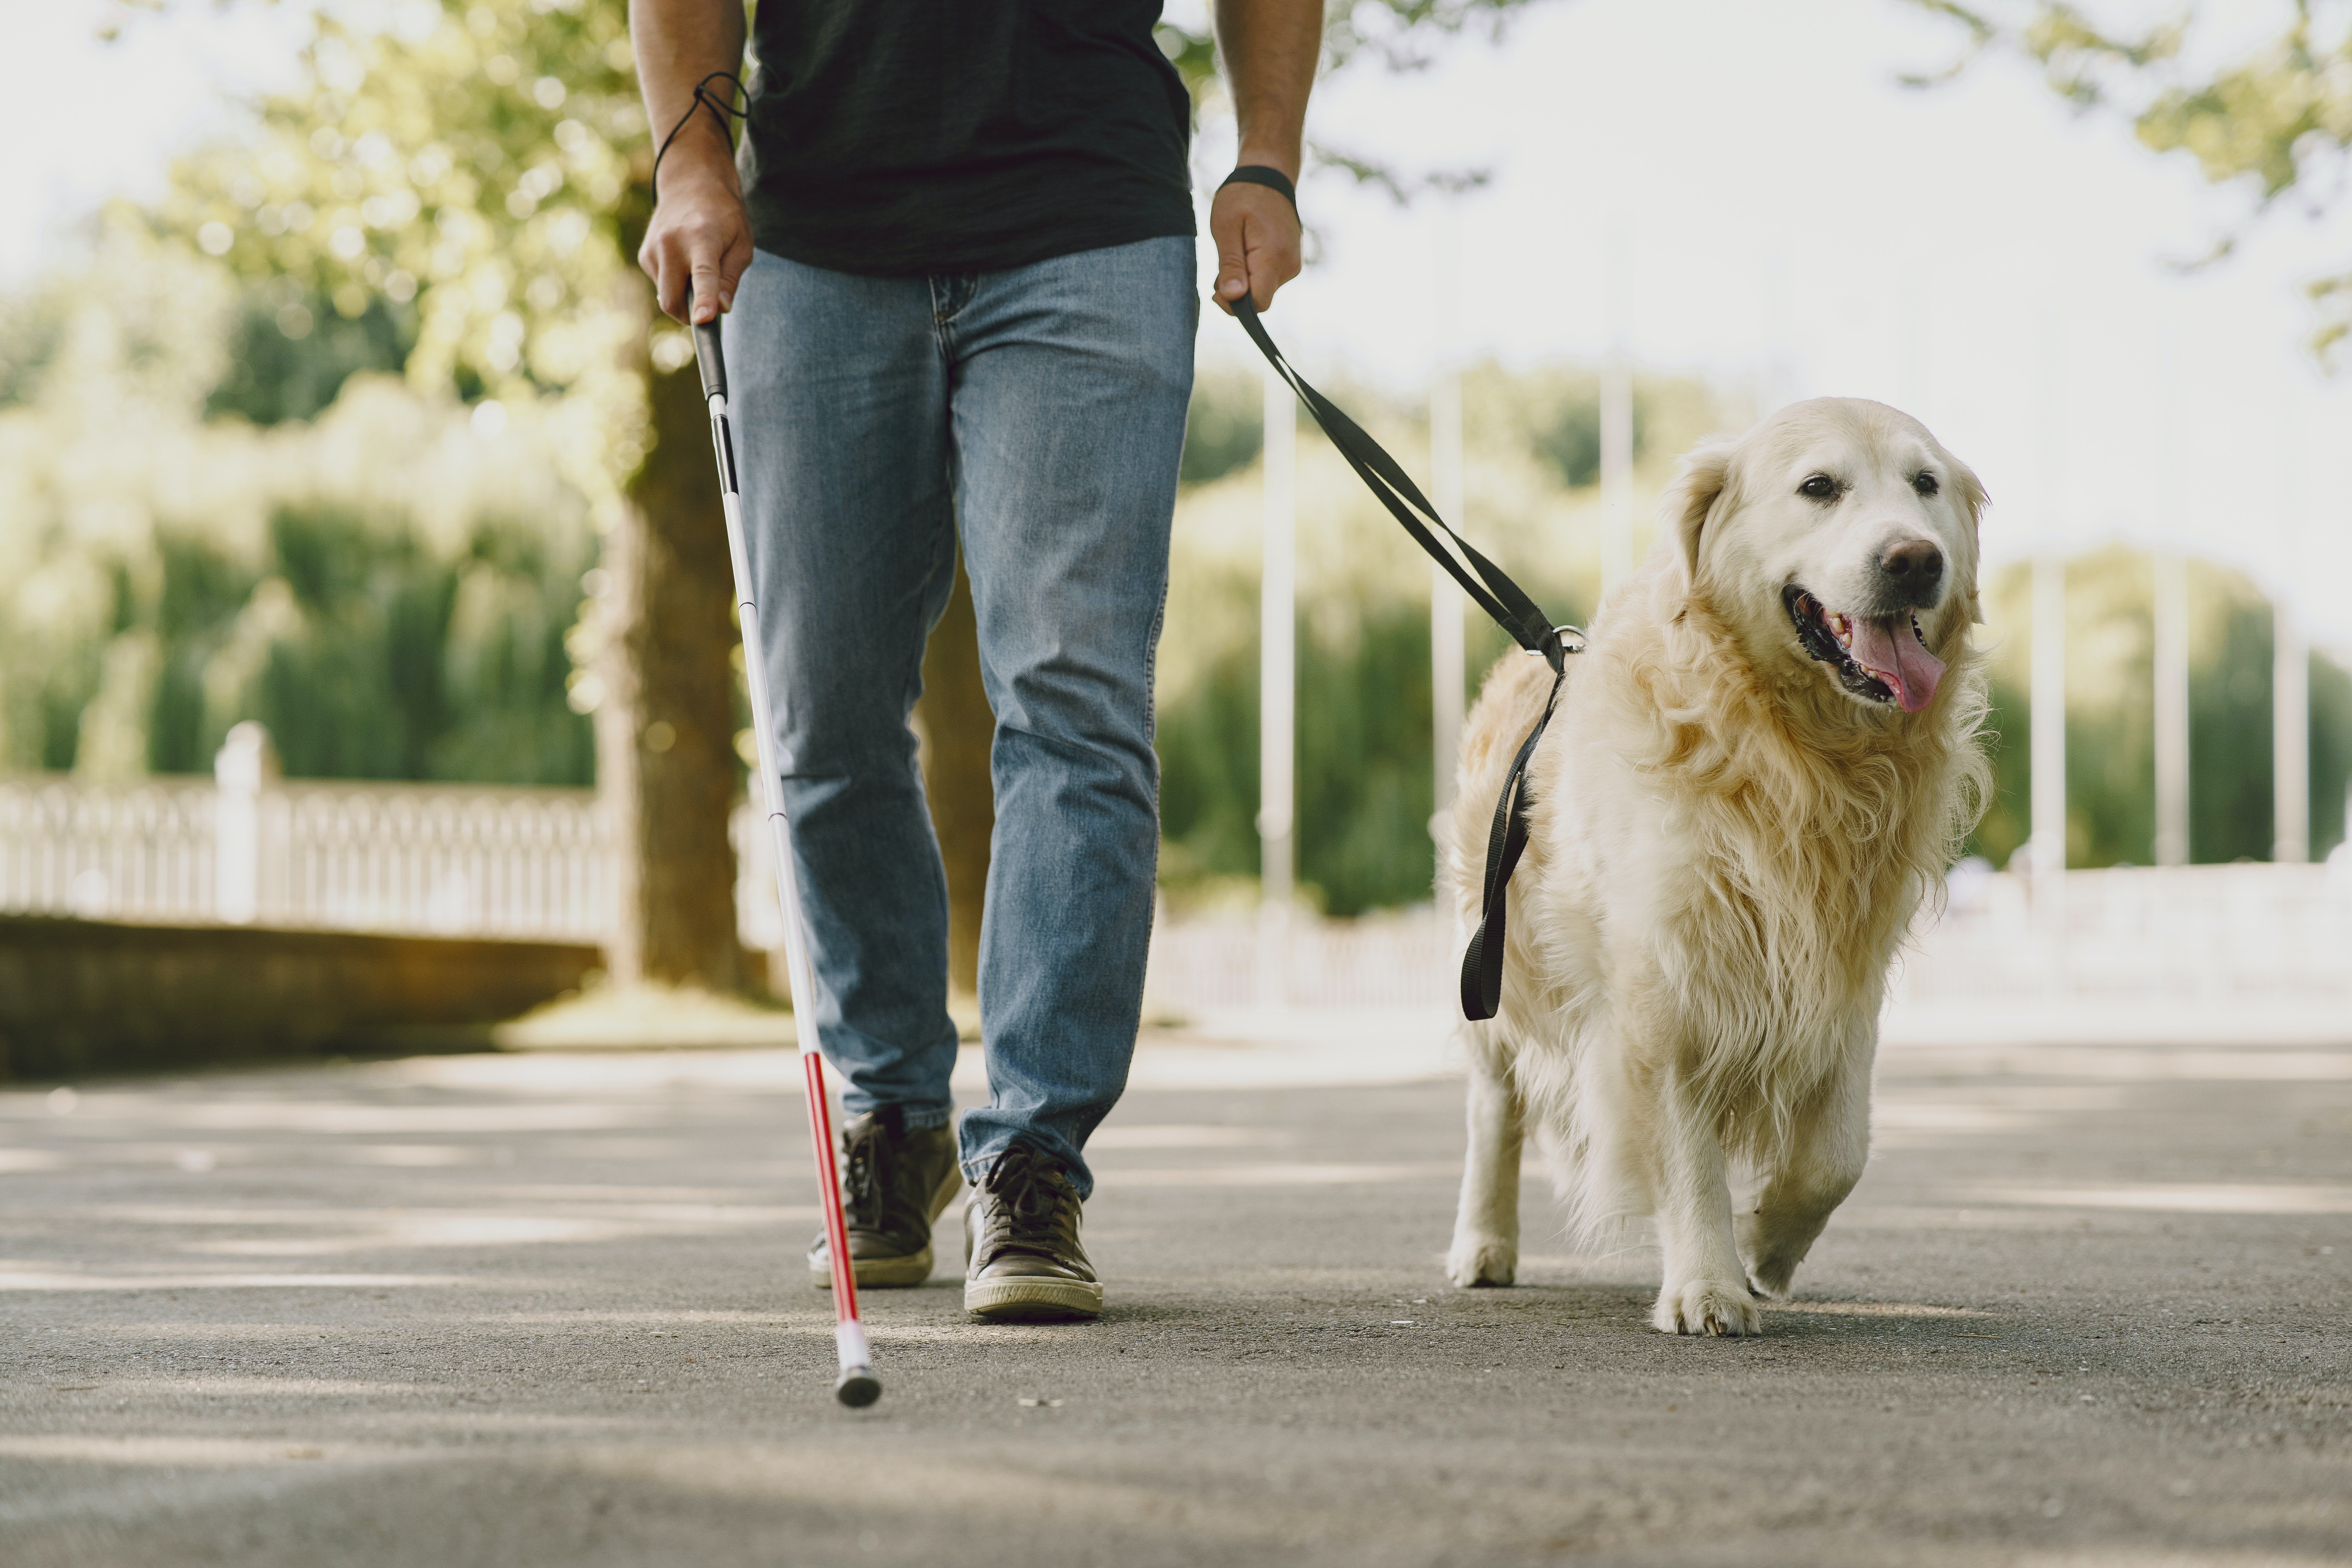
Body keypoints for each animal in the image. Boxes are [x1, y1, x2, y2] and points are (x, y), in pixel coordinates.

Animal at [1430, 395, 1985, 1335]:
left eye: (1926, 483)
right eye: (1818, 487)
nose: (1916, 560)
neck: (1795, 750)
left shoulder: (1846, 973)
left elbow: (1841, 1151)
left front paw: (1766, 1244)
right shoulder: (1662, 977)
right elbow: (1685, 1147)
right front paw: (1708, 1286)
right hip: (1500, 967)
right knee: (1492, 1108)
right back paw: (1483, 1244)